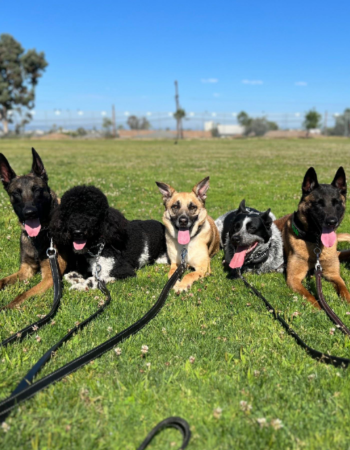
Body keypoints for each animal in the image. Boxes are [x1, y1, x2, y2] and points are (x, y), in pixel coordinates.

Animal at [0, 149, 66, 308]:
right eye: (16, 193)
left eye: (37, 190)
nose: (30, 213)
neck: (41, 235)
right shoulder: (26, 270)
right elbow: (3, 280)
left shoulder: (50, 277)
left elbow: (23, 295)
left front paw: (6, 308)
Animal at [274, 167, 350, 308]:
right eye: (318, 204)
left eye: (337, 203)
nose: (332, 222)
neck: (316, 245)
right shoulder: (294, 278)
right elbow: (311, 298)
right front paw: (320, 309)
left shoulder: (334, 275)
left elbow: (344, 289)